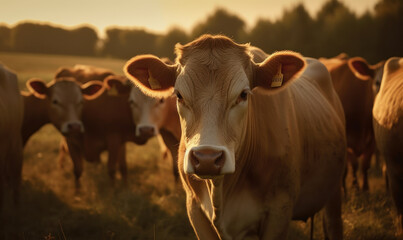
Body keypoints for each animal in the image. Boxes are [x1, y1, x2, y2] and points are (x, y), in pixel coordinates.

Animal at [124, 35, 348, 240]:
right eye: (178, 95)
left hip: (334, 188)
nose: (207, 158)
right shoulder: (195, 210)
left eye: (243, 94)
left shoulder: (279, 210)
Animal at [320, 54, 384, 191]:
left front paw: (365, 188)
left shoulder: (373, 138)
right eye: (377, 82)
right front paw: (354, 188)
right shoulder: (345, 138)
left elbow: (365, 164)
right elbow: (353, 165)